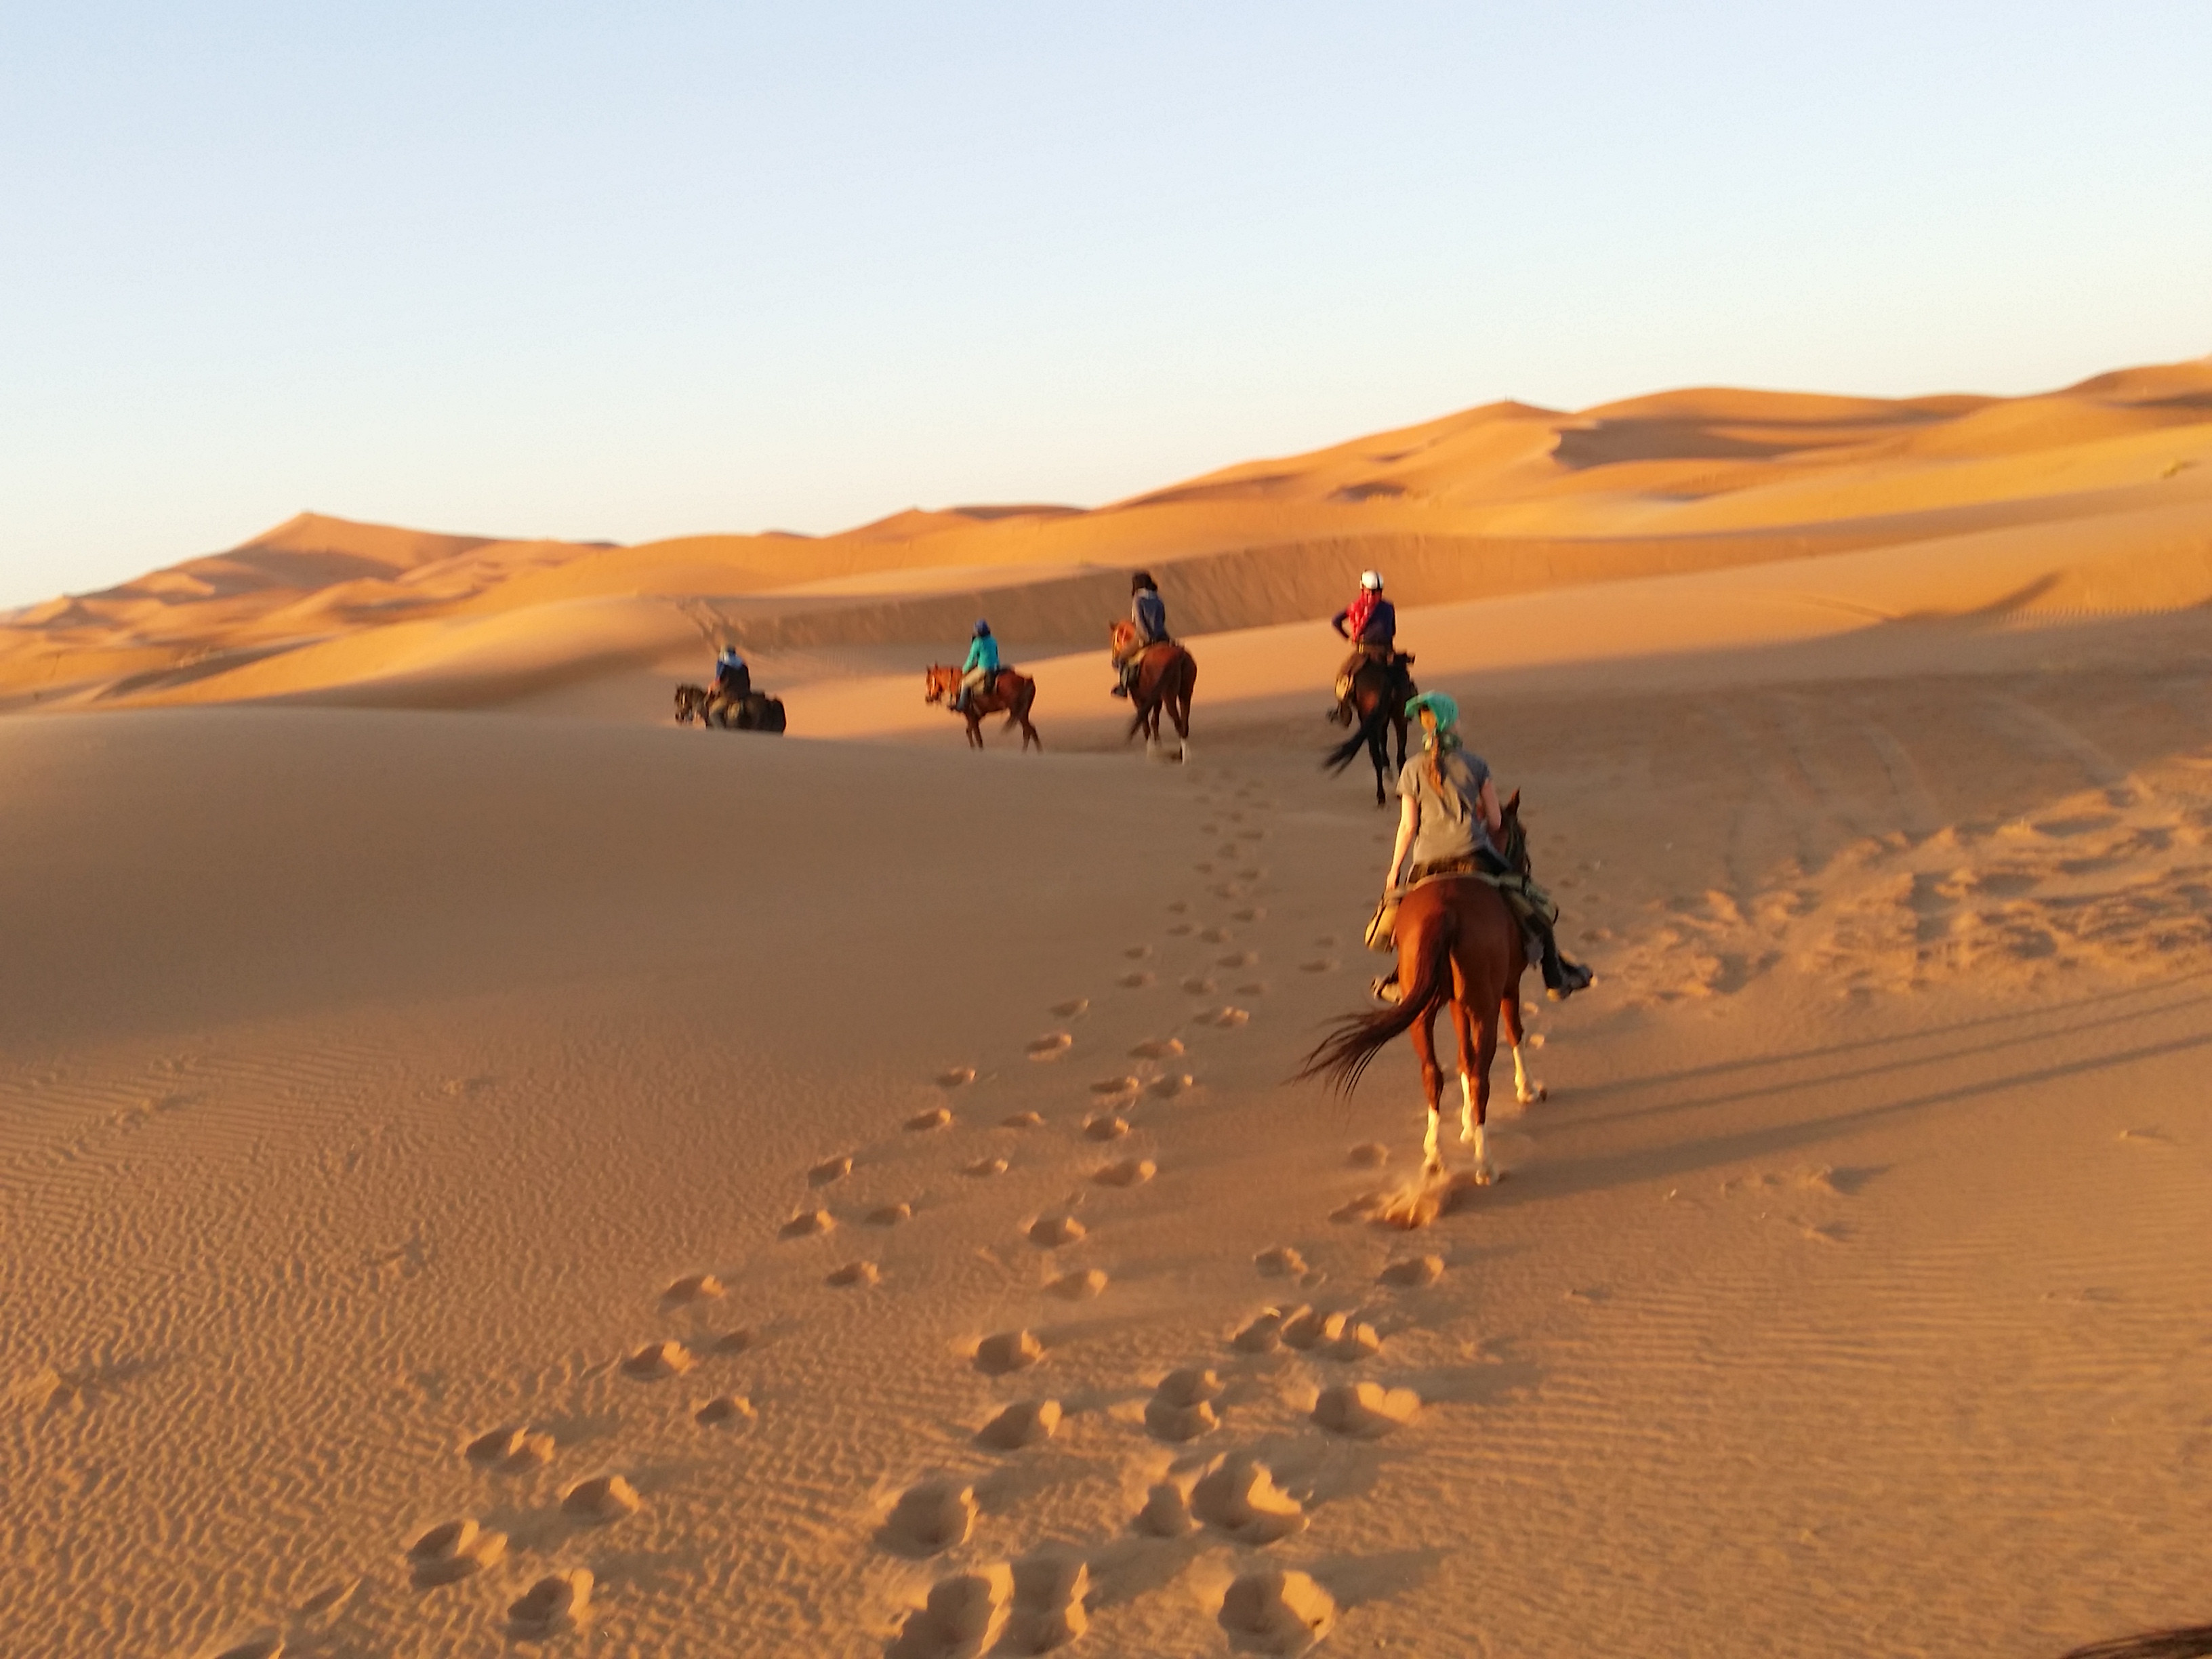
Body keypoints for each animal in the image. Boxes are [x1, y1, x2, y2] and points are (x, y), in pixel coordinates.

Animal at [924, 663, 1044, 752]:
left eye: (929, 681)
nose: (928, 698)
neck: (958, 684)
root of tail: (1027, 680)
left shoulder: (971, 715)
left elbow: (977, 736)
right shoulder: (976, 717)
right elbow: (970, 732)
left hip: (1018, 712)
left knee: (1028, 730)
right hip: (1023, 712)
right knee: (1030, 730)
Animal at [1115, 619, 1203, 760]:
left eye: (1117, 638)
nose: (1114, 660)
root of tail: (1179, 654)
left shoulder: (1138, 698)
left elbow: (1145, 721)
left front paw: (1151, 751)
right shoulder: (1156, 698)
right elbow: (1154, 721)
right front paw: (1158, 747)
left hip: (1169, 696)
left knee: (1177, 721)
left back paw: (1185, 756)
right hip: (1186, 693)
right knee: (1185, 722)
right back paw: (1182, 753)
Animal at [1292, 796, 1548, 1176]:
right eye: (1524, 834)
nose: (1526, 869)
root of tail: (1447, 911)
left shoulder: (1457, 1004)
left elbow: (1463, 1056)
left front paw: (1465, 1125)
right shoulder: (1507, 988)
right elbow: (1513, 1033)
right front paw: (1526, 1089)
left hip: (1423, 1012)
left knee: (1433, 1073)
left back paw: (1435, 1155)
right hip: (1483, 1007)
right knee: (1480, 1075)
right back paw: (1485, 1164)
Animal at [1327, 655, 1415, 805]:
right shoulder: (1384, 719)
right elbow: (1384, 740)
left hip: (1371, 724)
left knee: (1376, 757)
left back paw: (1381, 796)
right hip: (1399, 718)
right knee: (1401, 756)